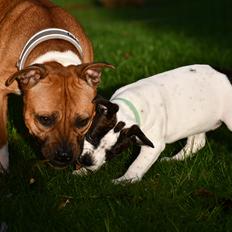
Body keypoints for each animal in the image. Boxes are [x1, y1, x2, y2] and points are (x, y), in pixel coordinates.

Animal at [74, 64, 232, 182]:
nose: (88, 161)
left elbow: (137, 165)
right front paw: (82, 171)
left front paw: (123, 181)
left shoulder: (153, 146)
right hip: (198, 120)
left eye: (114, 152)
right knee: (197, 142)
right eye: (91, 136)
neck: (130, 109)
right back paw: (174, 159)